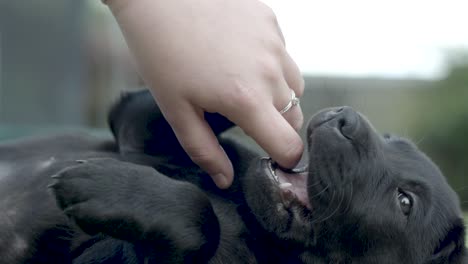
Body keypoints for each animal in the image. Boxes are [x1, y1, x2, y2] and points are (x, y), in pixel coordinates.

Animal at [0, 90, 464, 262]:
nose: (345, 119)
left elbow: (200, 220)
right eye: (390, 140)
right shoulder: (137, 132)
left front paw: (99, 189)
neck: (247, 216)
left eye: (405, 201)